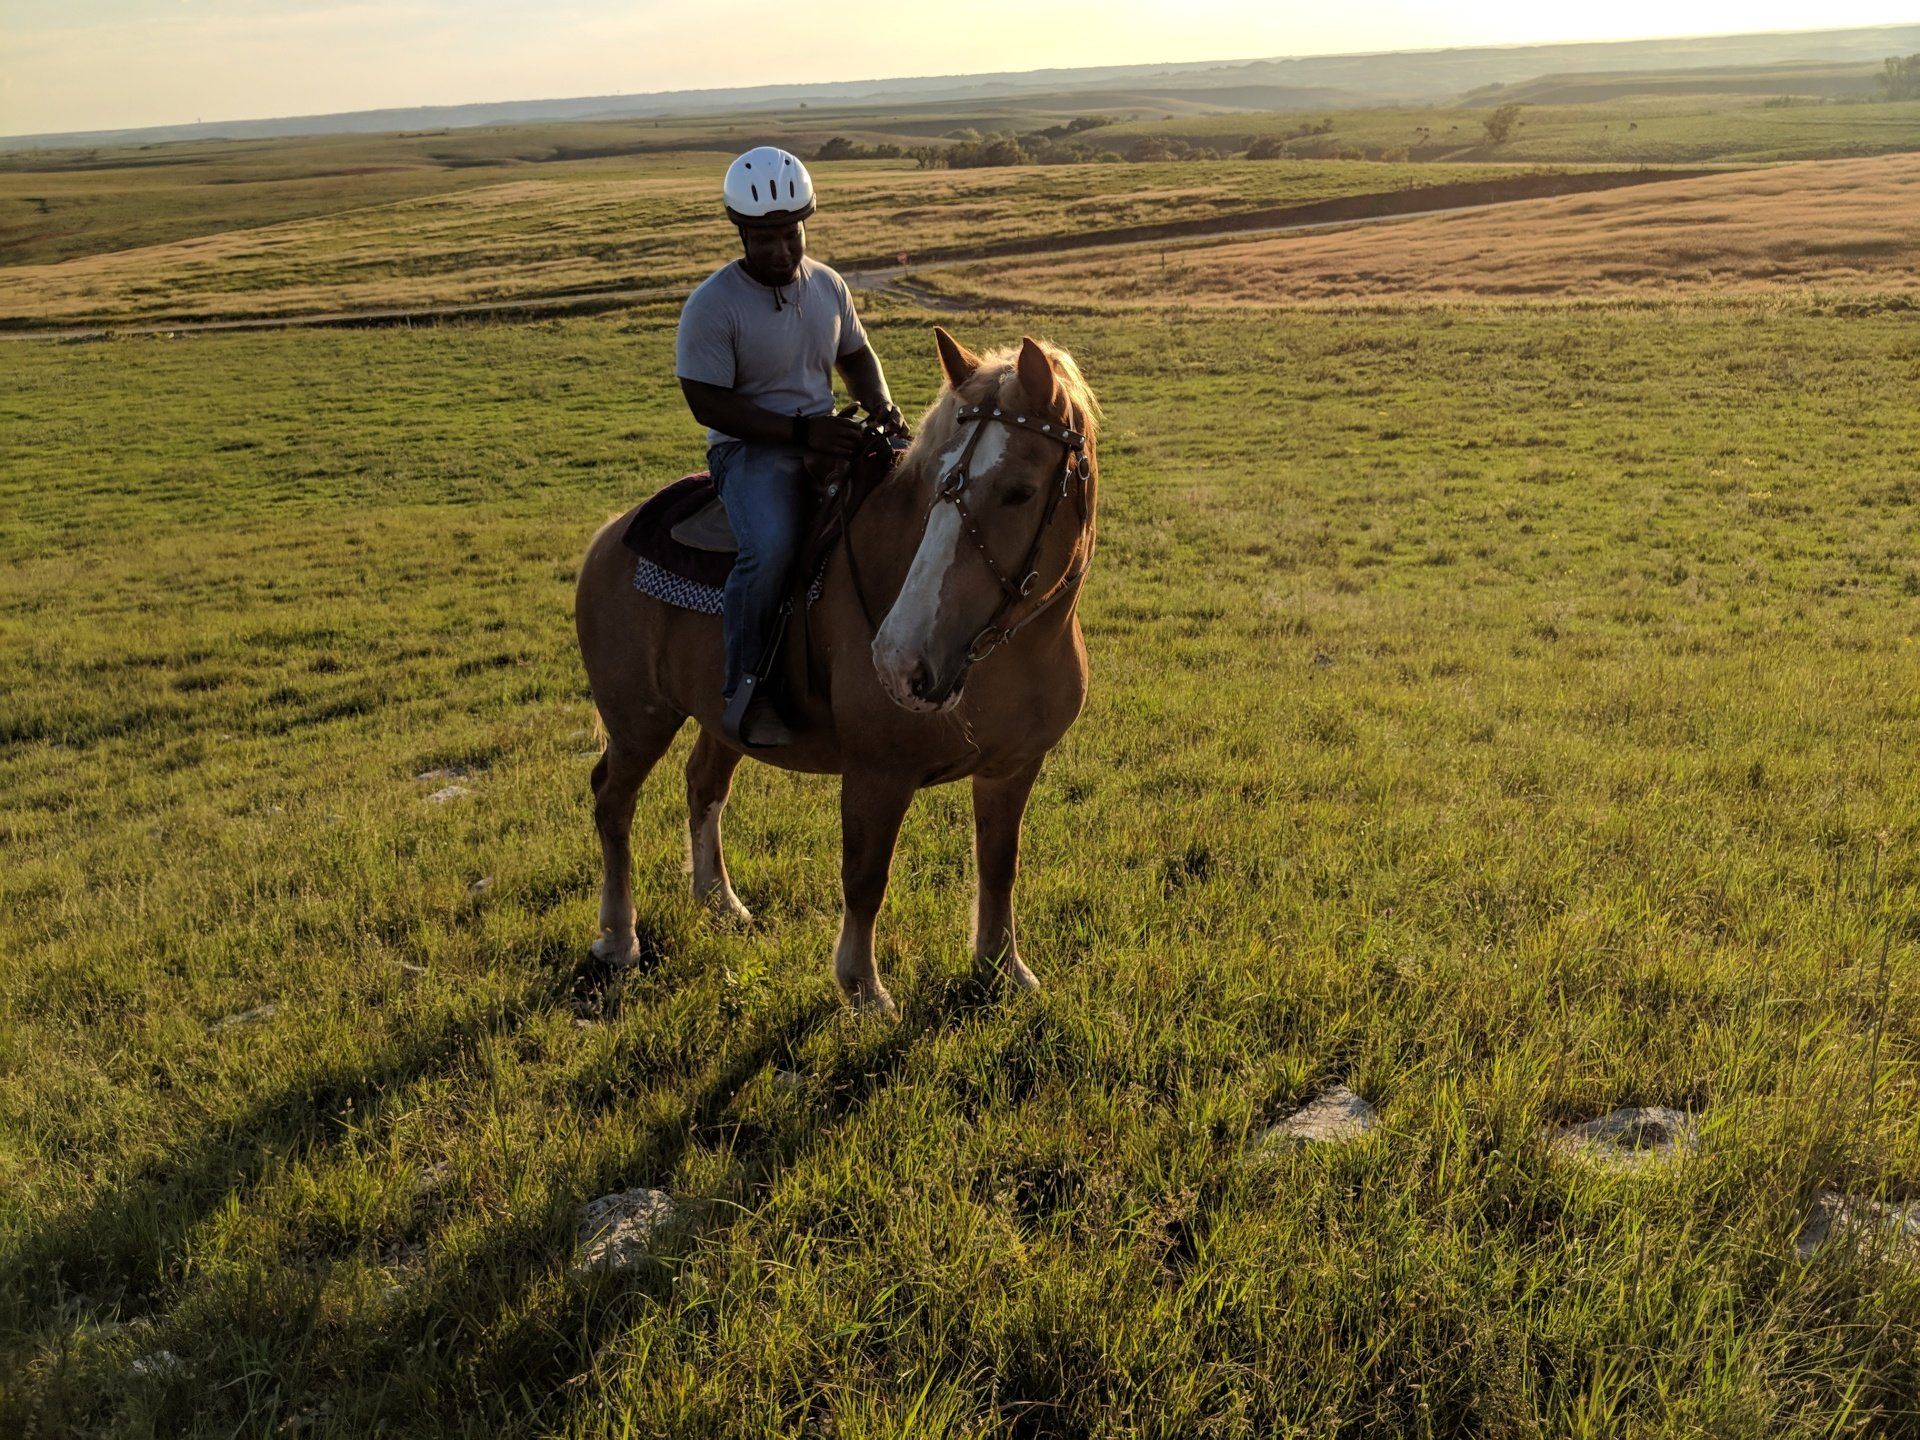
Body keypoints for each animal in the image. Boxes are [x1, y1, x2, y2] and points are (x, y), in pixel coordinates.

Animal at [574, 327, 1100, 1015]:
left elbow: (999, 864)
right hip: (639, 720)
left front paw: (1001, 968)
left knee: (703, 785)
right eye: (938, 486)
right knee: (614, 801)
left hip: (721, 720)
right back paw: (618, 938)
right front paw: (864, 989)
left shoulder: (1013, 767)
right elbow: (866, 874)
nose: (899, 662)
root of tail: (612, 534)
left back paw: (721, 904)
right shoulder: (876, 773)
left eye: (1019, 490)